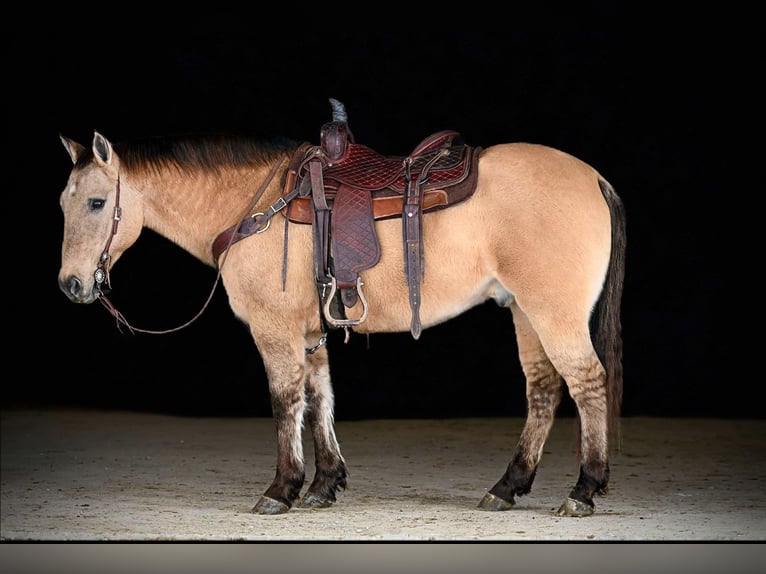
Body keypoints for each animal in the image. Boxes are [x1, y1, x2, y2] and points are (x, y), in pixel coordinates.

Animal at [57, 98, 628, 516]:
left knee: (586, 383)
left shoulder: (275, 329)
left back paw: (583, 489)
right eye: (64, 203)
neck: (253, 204)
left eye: (97, 203)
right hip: (524, 313)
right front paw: (324, 483)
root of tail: (593, 177)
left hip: (552, 314)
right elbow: (320, 398)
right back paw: (508, 486)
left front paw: (282, 488)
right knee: (544, 390)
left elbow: (286, 401)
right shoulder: (310, 332)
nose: (71, 285)